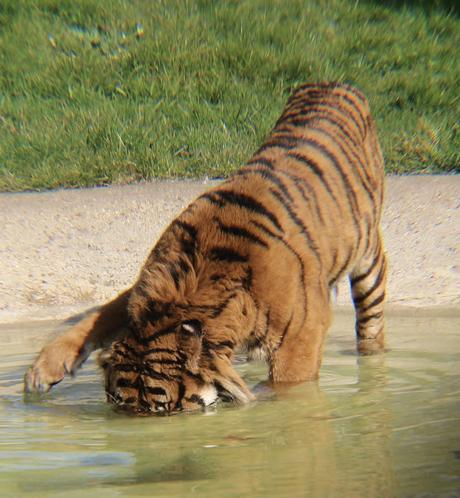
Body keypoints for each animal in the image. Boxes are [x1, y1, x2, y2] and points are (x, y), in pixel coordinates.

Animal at [24, 83, 384, 414]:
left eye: (166, 410)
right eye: (122, 406)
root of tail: (332, 83)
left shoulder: (299, 340)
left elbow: (284, 386)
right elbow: (98, 317)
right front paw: (41, 372)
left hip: (369, 262)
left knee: (371, 320)